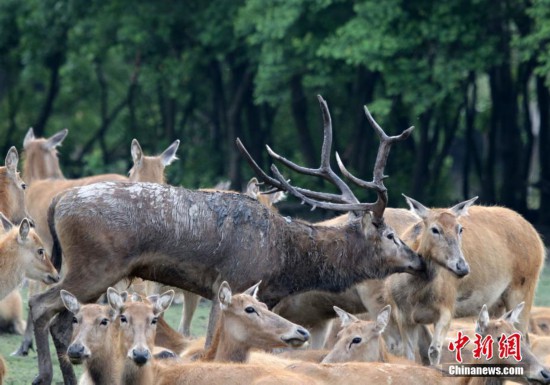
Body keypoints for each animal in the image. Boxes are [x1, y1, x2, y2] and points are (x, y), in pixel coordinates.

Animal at [28, 94, 424, 384]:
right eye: (391, 235)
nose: (419, 259)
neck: (284, 260)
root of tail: (57, 203)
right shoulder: (232, 281)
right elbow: (209, 347)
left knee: (62, 318)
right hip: (94, 265)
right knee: (40, 306)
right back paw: (44, 376)